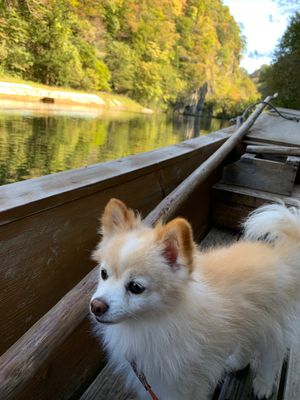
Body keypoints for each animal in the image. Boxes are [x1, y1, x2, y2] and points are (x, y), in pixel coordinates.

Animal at [90, 199, 300, 400]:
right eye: (104, 274)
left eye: (136, 287)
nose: (96, 306)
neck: (151, 323)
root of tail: (280, 255)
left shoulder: (183, 386)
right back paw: (237, 363)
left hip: (273, 326)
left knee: (272, 356)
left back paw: (263, 385)